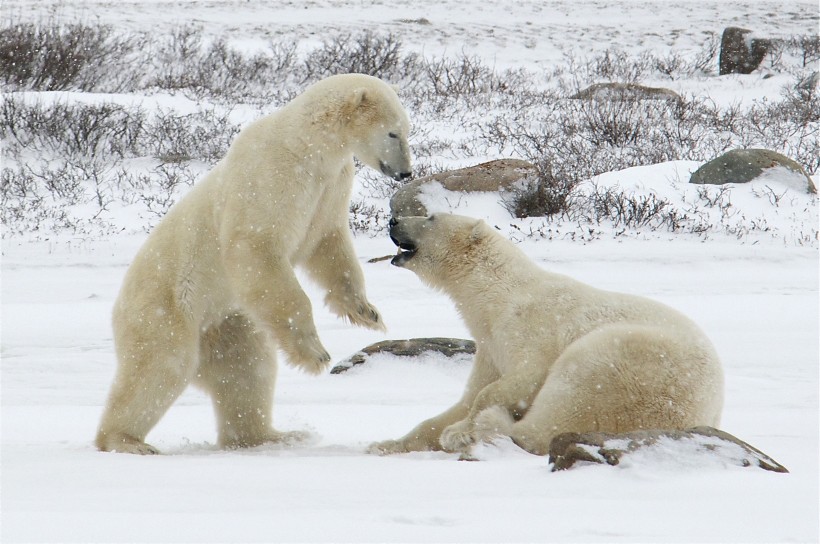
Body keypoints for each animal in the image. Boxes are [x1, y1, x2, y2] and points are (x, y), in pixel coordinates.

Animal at [97, 74, 414, 452]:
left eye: (406, 129)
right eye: (393, 133)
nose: (406, 172)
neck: (308, 145)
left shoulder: (331, 184)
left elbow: (328, 243)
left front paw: (366, 312)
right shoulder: (272, 175)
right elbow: (255, 245)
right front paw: (315, 353)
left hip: (228, 321)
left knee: (247, 368)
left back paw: (271, 436)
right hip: (165, 308)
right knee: (160, 366)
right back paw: (127, 440)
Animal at [372, 215, 724, 456]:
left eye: (430, 216)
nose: (394, 220)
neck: (497, 295)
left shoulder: (529, 326)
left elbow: (520, 380)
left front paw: (459, 430)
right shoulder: (491, 347)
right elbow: (468, 397)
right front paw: (383, 444)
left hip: (631, 370)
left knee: (560, 409)